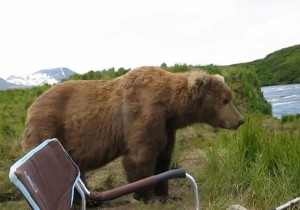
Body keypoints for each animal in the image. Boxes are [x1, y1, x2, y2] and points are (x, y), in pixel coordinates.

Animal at [22, 66, 244, 203]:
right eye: (224, 100)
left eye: (230, 97)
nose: (240, 120)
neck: (171, 107)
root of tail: (31, 107)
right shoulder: (143, 113)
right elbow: (141, 157)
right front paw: (148, 197)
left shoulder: (167, 126)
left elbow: (164, 157)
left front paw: (167, 194)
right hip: (50, 128)